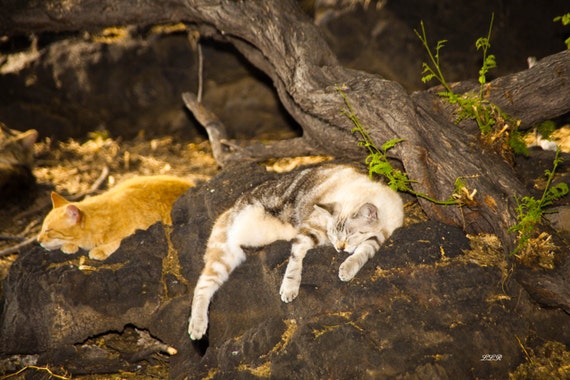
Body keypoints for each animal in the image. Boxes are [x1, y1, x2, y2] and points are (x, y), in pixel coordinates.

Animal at [38, 176, 193, 260]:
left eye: (48, 230)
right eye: (42, 229)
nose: (38, 240)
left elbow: (117, 240)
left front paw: (100, 250)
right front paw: (70, 246)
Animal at [189, 163, 402, 338]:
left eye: (350, 235)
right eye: (334, 234)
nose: (339, 248)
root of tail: (229, 209)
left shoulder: (382, 234)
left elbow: (363, 252)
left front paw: (347, 269)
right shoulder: (309, 230)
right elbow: (295, 260)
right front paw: (289, 288)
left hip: (229, 256)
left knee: (204, 284)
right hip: (228, 249)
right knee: (201, 287)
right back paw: (197, 328)